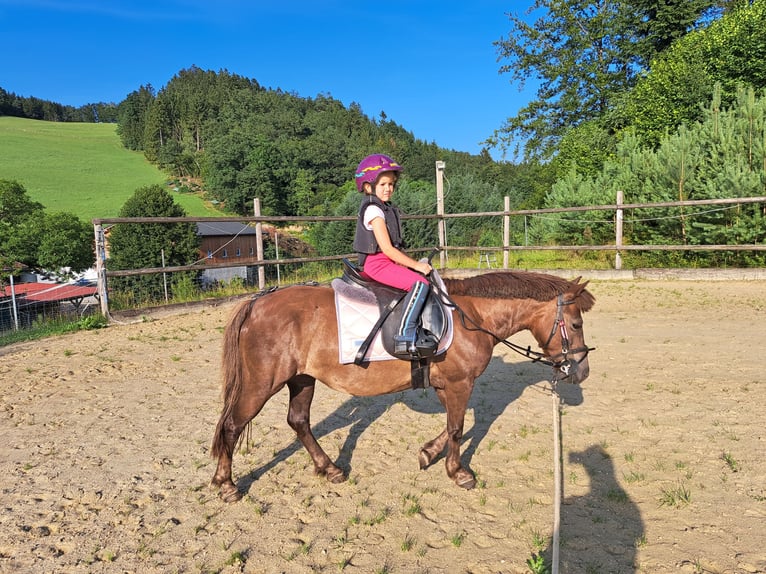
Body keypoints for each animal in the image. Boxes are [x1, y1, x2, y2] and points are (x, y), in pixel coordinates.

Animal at [213, 272, 596, 502]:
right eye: (576, 324)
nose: (582, 371)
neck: (471, 316)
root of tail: (257, 301)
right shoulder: (460, 383)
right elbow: (457, 428)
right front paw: (458, 472)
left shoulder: (446, 383)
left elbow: (450, 426)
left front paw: (428, 453)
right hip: (262, 383)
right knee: (232, 425)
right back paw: (227, 484)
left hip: (302, 379)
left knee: (299, 421)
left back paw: (330, 468)